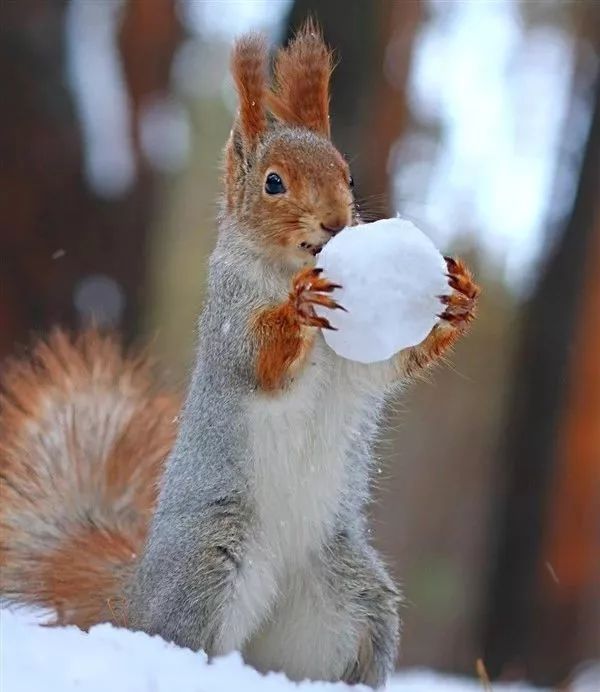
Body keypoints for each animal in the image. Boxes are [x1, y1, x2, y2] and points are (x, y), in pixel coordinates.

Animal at [0, 21, 478, 688]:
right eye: (274, 183)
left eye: (349, 175)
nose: (337, 221)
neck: (285, 266)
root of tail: (134, 597)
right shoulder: (229, 318)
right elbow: (259, 361)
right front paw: (299, 307)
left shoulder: (360, 365)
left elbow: (388, 365)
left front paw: (459, 298)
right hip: (210, 569)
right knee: (183, 631)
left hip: (352, 599)